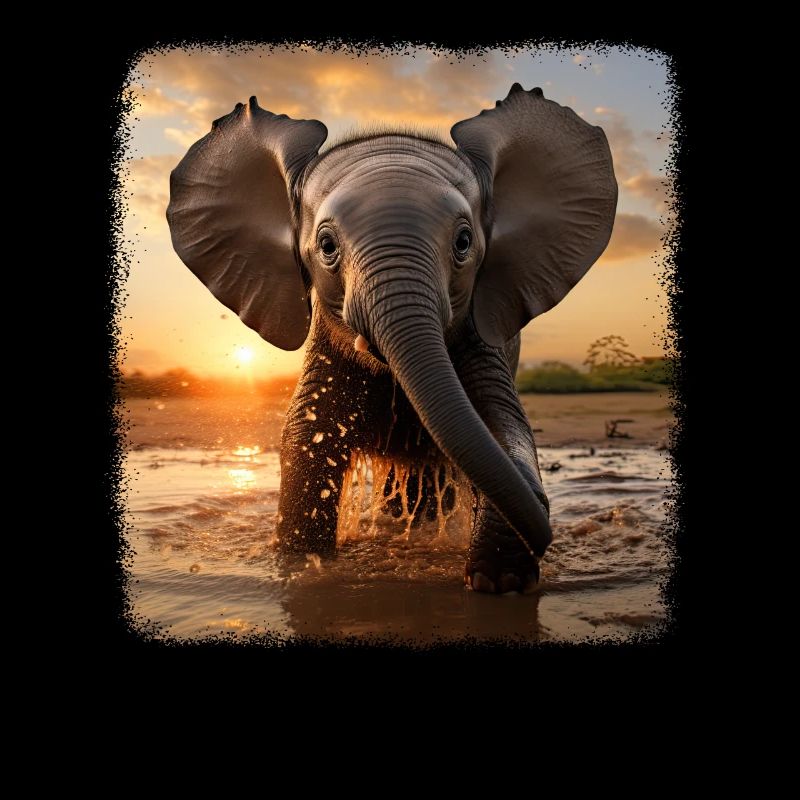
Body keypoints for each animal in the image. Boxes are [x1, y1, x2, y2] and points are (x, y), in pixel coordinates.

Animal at [166, 83, 617, 594]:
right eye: (326, 247)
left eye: (464, 243)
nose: (547, 534)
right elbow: (305, 440)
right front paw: (301, 565)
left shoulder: (485, 346)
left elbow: (504, 429)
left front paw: (497, 583)